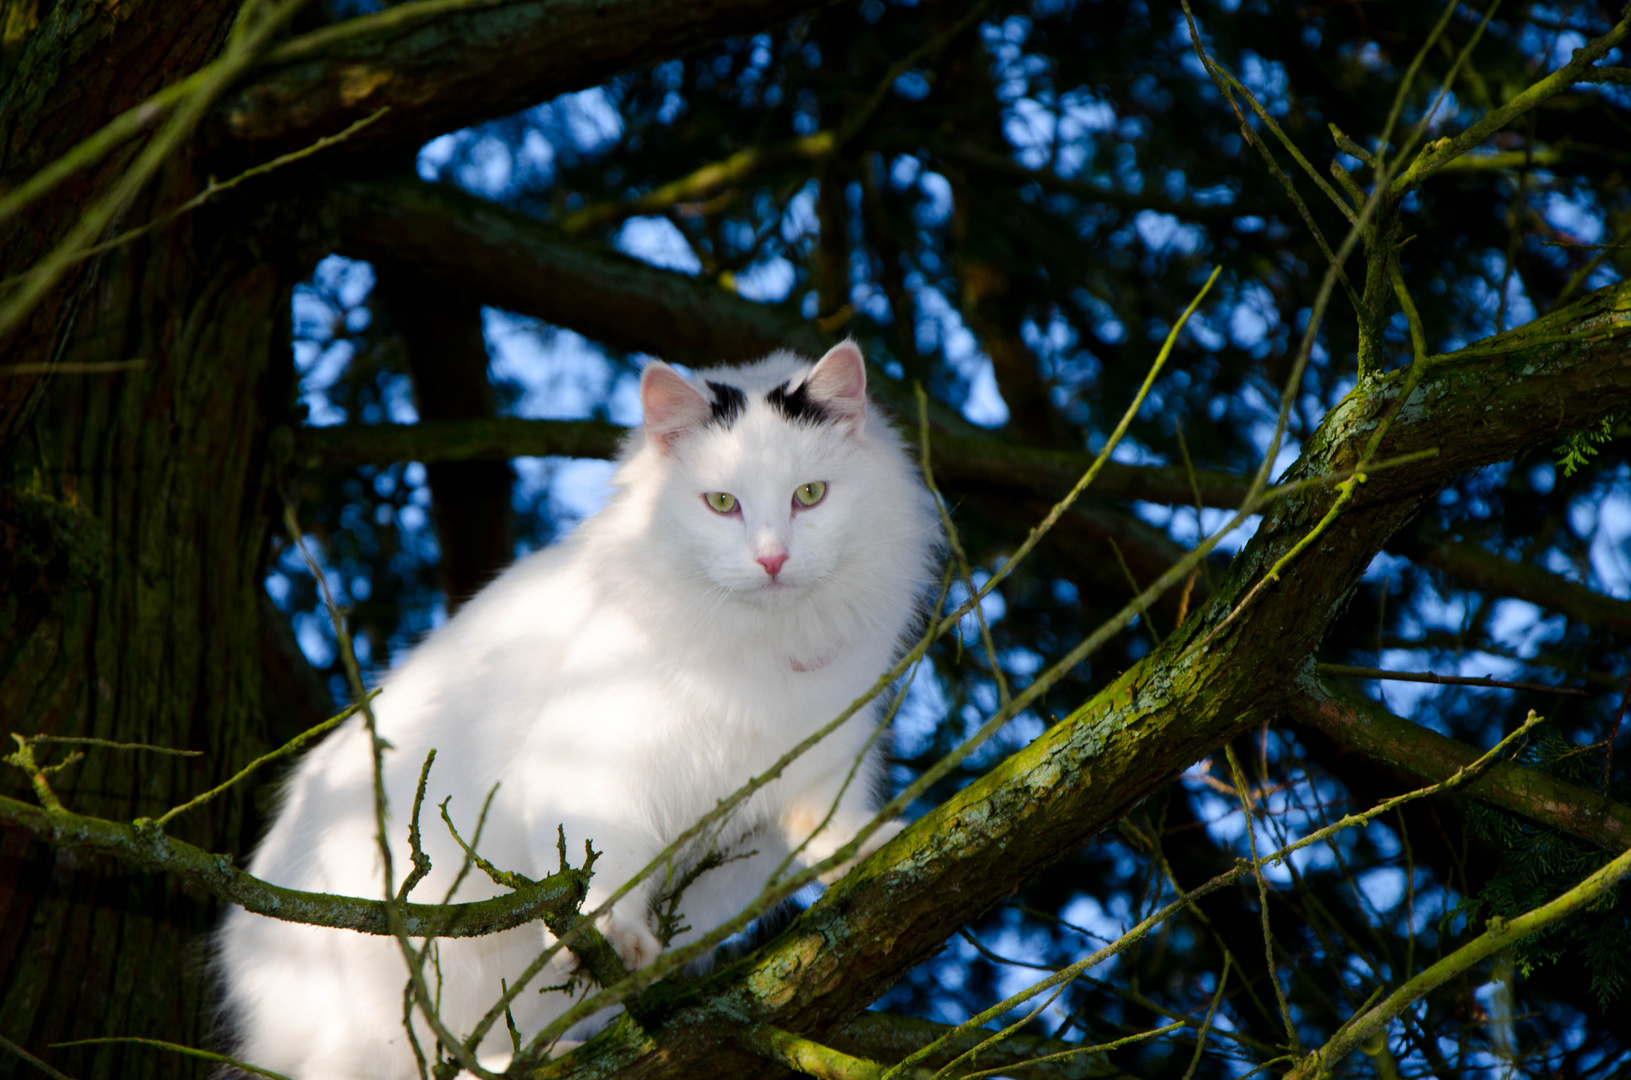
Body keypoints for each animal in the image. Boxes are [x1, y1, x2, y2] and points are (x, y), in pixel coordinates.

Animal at [213, 344, 945, 1080]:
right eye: (722, 504)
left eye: (809, 496)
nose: (772, 560)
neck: (764, 645)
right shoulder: (597, 771)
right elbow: (603, 876)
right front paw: (616, 938)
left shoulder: (823, 753)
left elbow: (831, 825)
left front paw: (870, 849)